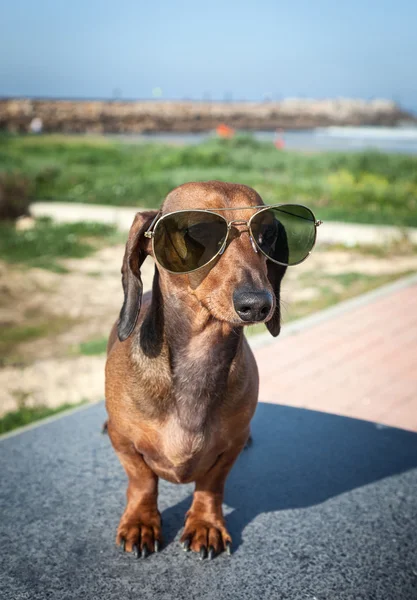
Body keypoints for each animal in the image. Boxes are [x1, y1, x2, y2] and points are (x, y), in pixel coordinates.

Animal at [104, 180, 286, 560]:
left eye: (267, 234)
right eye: (199, 232)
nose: (257, 304)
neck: (199, 357)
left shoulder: (229, 449)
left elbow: (211, 484)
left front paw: (206, 524)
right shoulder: (124, 442)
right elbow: (142, 481)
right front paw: (141, 522)